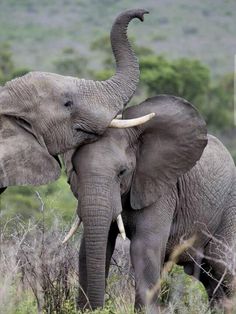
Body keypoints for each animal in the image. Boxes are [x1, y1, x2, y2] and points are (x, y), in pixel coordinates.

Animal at [62, 95, 236, 312]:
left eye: (122, 172)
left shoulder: (162, 189)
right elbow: (91, 248)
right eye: (75, 171)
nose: (97, 308)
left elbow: (144, 247)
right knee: (210, 277)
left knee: (223, 266)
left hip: (229, 210)